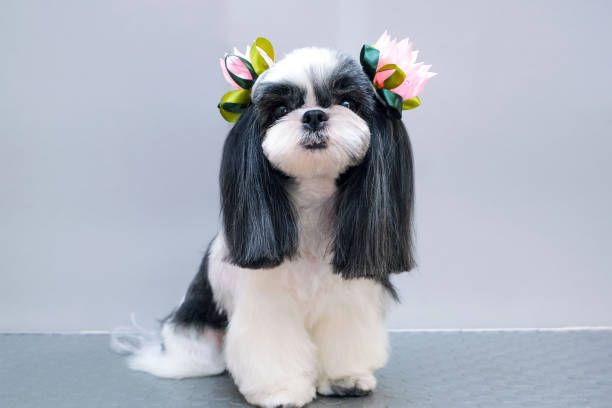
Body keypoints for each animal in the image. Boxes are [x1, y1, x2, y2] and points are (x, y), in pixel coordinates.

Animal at [116, 32, 436, 408]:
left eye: (348, 102)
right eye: (281, 109)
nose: (313, 115)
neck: (311, 209)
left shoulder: (347, 298)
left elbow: (344, 337)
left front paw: (344, 377)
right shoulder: (267, 305)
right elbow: (273, 348)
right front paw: (282, 390)